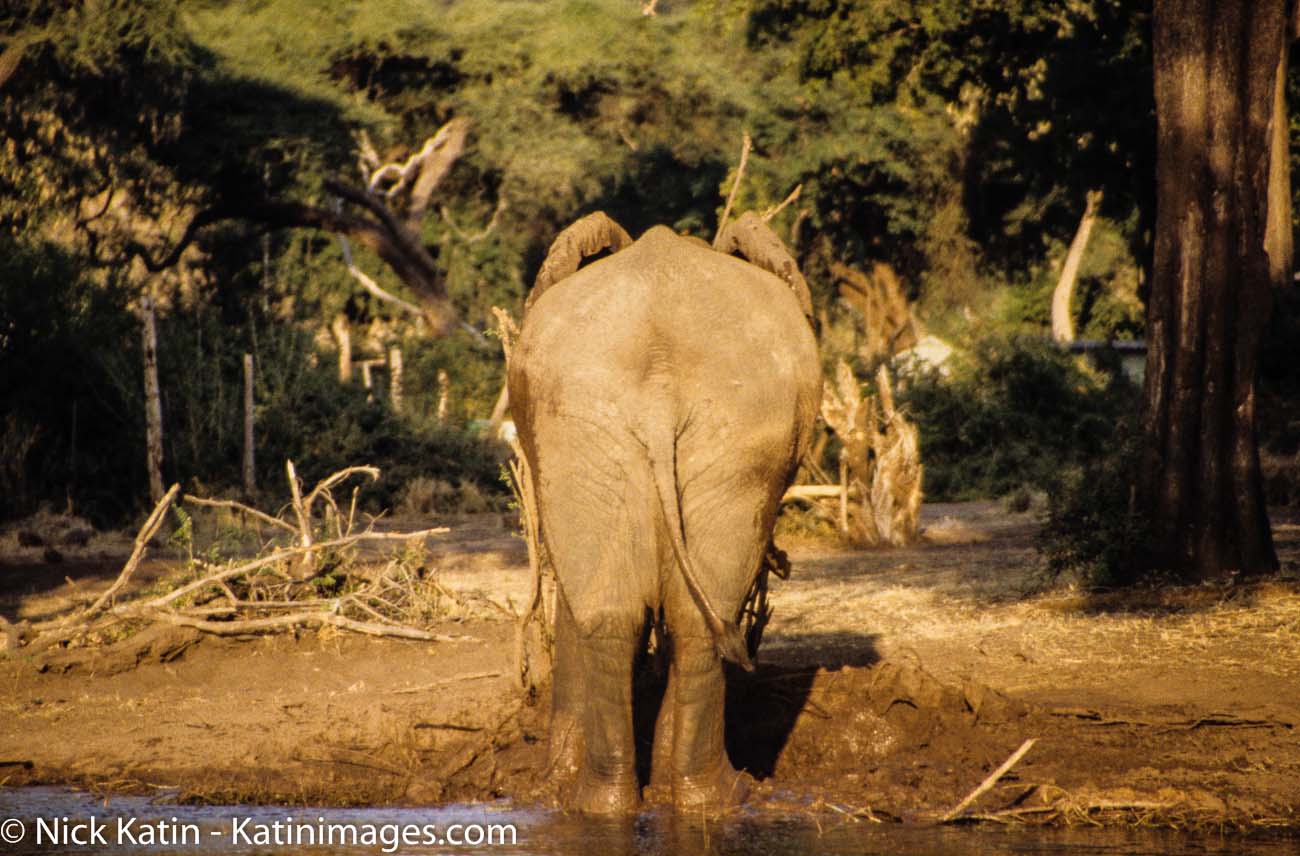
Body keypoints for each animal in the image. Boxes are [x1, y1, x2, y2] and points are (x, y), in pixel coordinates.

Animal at [509, 211, 821, 814]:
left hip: (639, 431)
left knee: (637, 616)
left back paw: (642, 804)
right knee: (672, 617)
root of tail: (659, 383)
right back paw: (692, 799)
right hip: (643, 430)